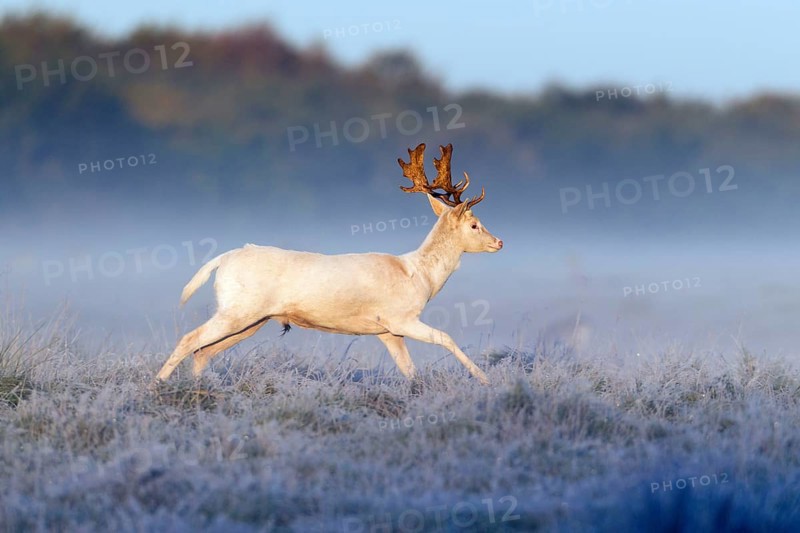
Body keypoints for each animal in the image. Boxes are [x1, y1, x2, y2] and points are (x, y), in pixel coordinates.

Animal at [155, 143, 503, 384]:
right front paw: (485, 380)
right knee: (191, 340)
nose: (498, 242)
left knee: (203, 351)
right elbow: (446, 338)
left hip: (252, 319)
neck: (420, 278)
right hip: (237, 310)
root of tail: (222, 259)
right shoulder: (399, 317)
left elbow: (410, 370)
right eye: (475, 224)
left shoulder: (387, 331)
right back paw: (157, 385)